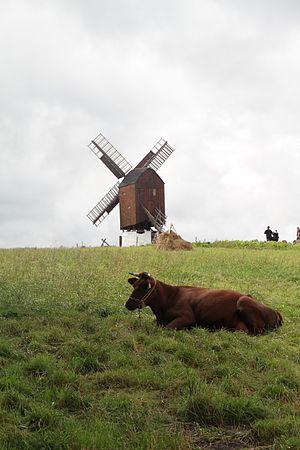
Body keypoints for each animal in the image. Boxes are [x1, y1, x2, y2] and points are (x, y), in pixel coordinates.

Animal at [125, 270, 284, 334]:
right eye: (134, 285)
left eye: (143, 287)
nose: (128, 304)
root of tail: (275, 310)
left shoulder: (187, 317)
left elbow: (167, 328)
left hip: (244, 302)